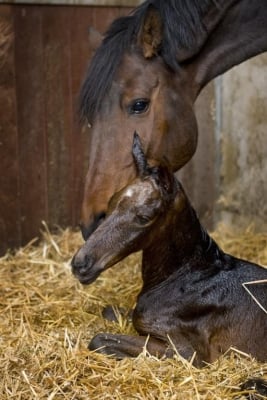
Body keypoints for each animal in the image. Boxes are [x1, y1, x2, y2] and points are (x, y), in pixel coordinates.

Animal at [71, 133, 267, 368]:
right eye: (111, 202)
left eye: (144, 217)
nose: (80, 264)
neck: (189, 278)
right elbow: (111, 311)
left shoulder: (190, 353)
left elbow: (98, 339)